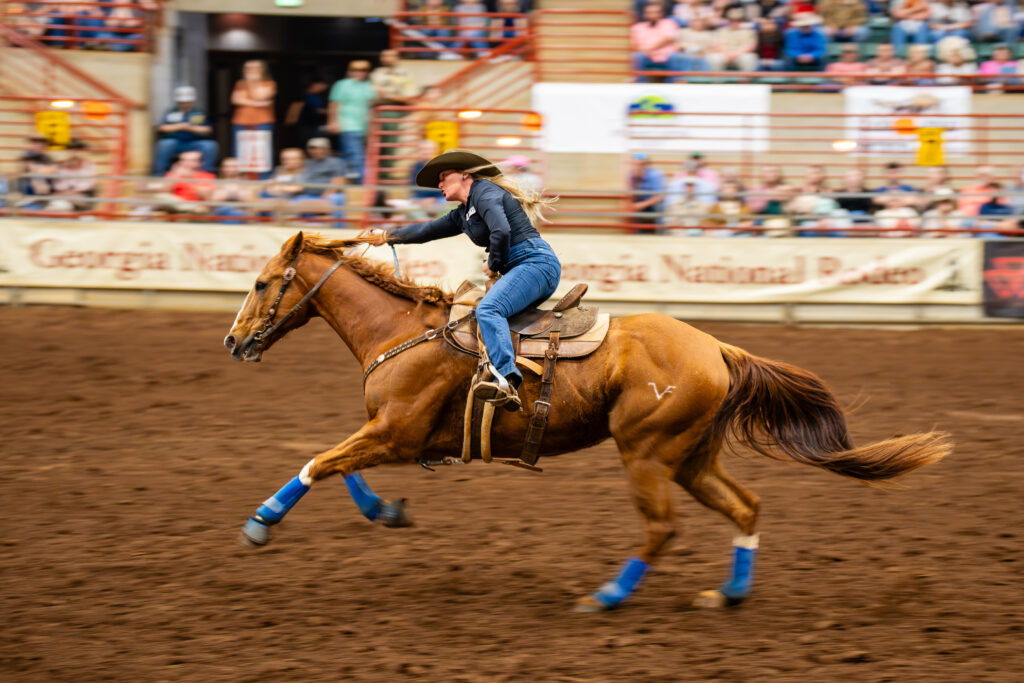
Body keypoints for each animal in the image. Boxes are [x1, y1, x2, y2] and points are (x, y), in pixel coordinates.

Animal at [224, 232, 952, 611]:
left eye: (261, 283)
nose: (233, 341)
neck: (404, 331)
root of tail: (718, 347)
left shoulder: (395, 432)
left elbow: (318, 462)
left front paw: (259, 523)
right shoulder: (392, 436)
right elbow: (340, 468)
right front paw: (388, 511)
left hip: (648, 453)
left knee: (661, 527)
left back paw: (606, 595)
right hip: (691, 456)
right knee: (744, 506)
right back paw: (727, 593)